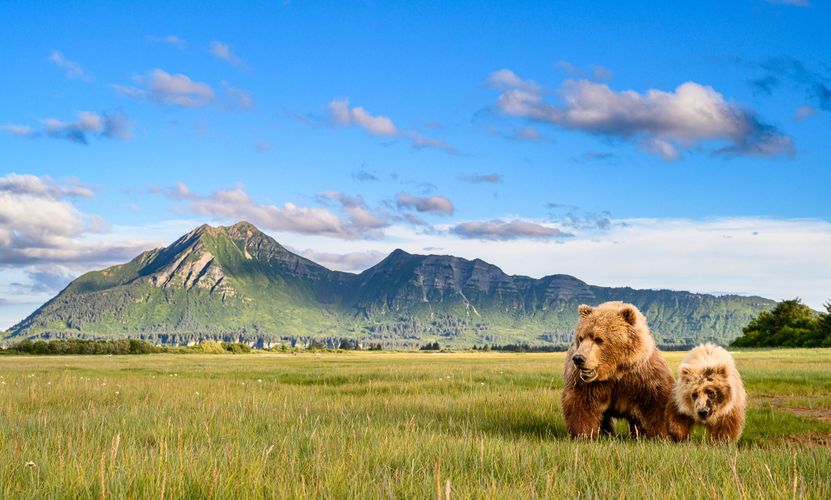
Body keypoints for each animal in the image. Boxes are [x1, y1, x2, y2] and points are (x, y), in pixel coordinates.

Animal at [561, 301, 683, 439]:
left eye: (598, 339)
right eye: (581, 338)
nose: (578, 358)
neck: (615, 371)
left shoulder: (643, 374)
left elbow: (657, 400)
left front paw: (663, 435)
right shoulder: (588, 384)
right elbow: (581, 404)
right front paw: (583, 435)